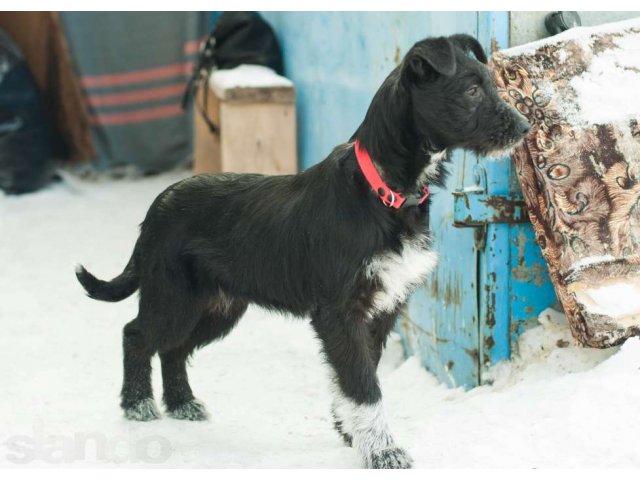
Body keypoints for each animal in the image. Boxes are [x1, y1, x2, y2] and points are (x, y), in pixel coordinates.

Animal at [77, 34, 528, 468]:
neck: (381, 190)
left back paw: (182, 404)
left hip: (218, 306)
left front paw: (351, 433)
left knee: (174, 348)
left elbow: (359, 374)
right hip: (174, 297)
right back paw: (138, 405)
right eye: (472, 89)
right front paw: (382, 452)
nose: (525, 126)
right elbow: (364, 384)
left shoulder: (381, 311)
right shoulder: (340, 314)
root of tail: (158, 208)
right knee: (136, 335)